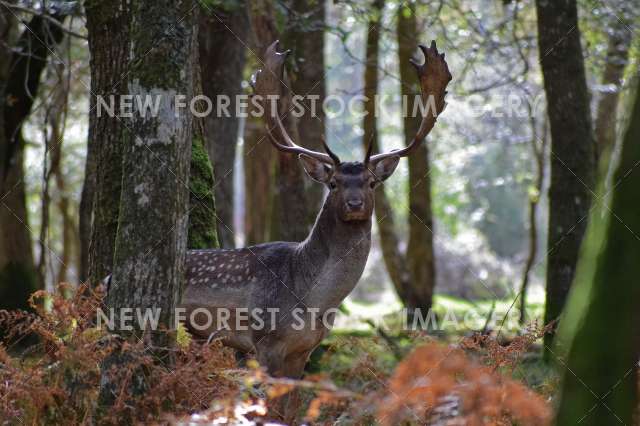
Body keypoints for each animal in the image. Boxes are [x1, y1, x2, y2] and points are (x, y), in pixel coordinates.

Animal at [179, 38, 450, 412]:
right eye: (333, 183)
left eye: (370, 182)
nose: (354, 204)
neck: (314, 301)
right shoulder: (264, 341)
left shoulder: (304, 349)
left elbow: (291, 408)